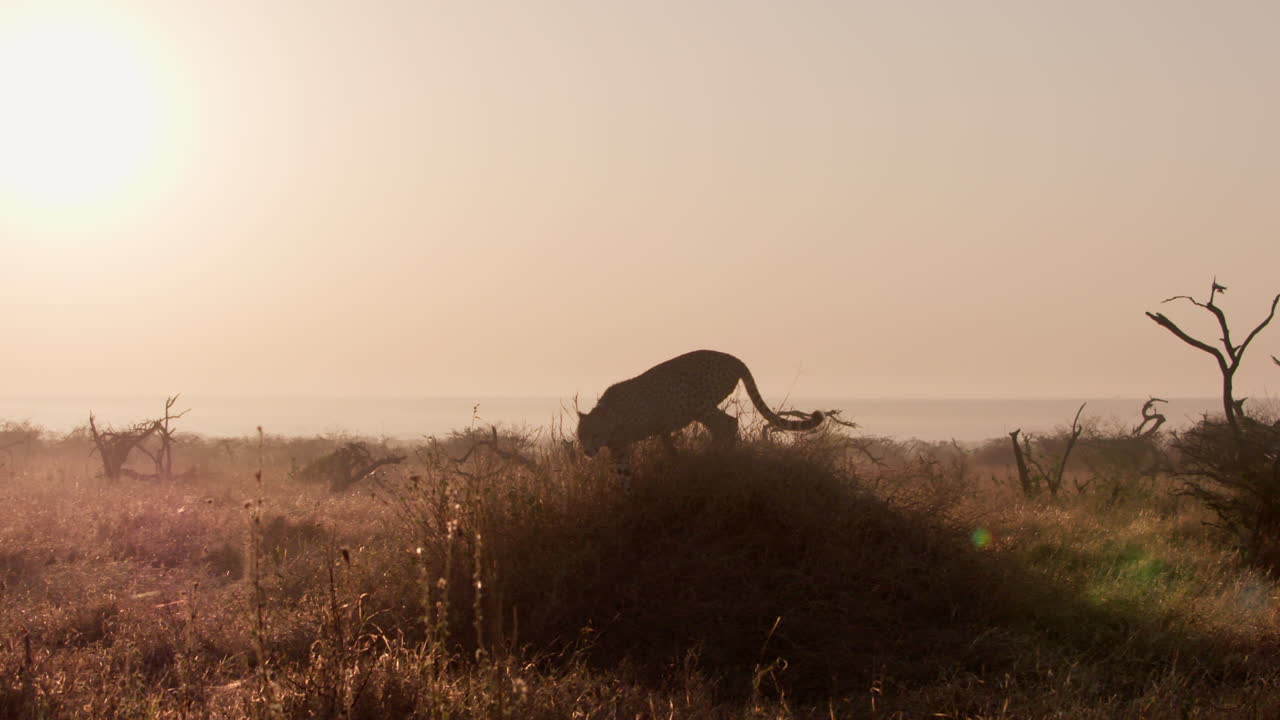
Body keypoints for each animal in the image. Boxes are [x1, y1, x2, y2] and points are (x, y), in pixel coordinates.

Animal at [576, 349, 825, 458]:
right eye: (581, 436)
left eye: (594, 435)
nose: (588, 451)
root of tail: (733, 358)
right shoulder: (623, 444)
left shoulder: (658, 419)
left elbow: (666, 442)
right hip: (702, 406)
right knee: (726, 424)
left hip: (697, 403)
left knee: (727, 424)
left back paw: (713, 454)